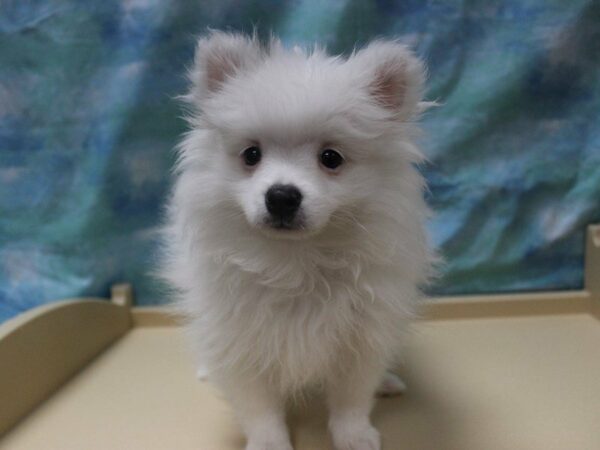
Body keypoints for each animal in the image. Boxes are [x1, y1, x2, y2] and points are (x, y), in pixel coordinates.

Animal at [162, 31, 434, 450]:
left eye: (331, 158)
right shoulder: (239, 340)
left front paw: (355, 436)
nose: (281, 196)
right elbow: (258, 405)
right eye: (251, 154)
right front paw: (268, 443)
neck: (295, 260)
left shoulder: (363, 336)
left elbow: (352, 397)